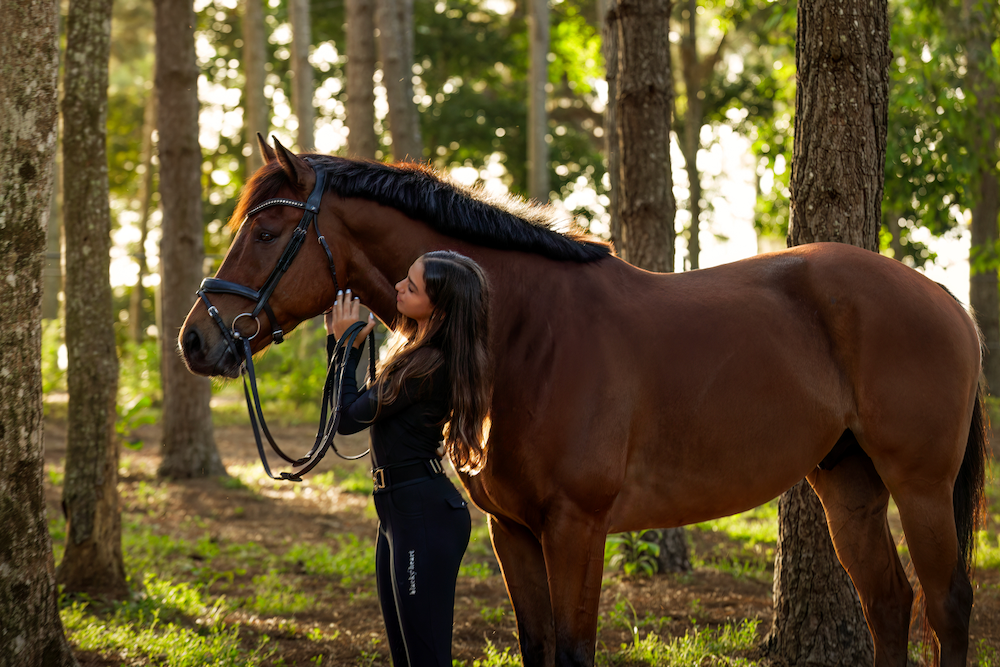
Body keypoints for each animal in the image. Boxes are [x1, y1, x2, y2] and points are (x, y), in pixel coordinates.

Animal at [179, 137, 988, 667]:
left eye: (268, 229)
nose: (197, 340)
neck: (526, 331)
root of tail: (942, 296)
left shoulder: (577, 526)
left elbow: (572, 649)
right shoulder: (512, 530)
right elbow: (537, 646)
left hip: (920, 486)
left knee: (946, 607)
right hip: (848, 483)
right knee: (889, 604)